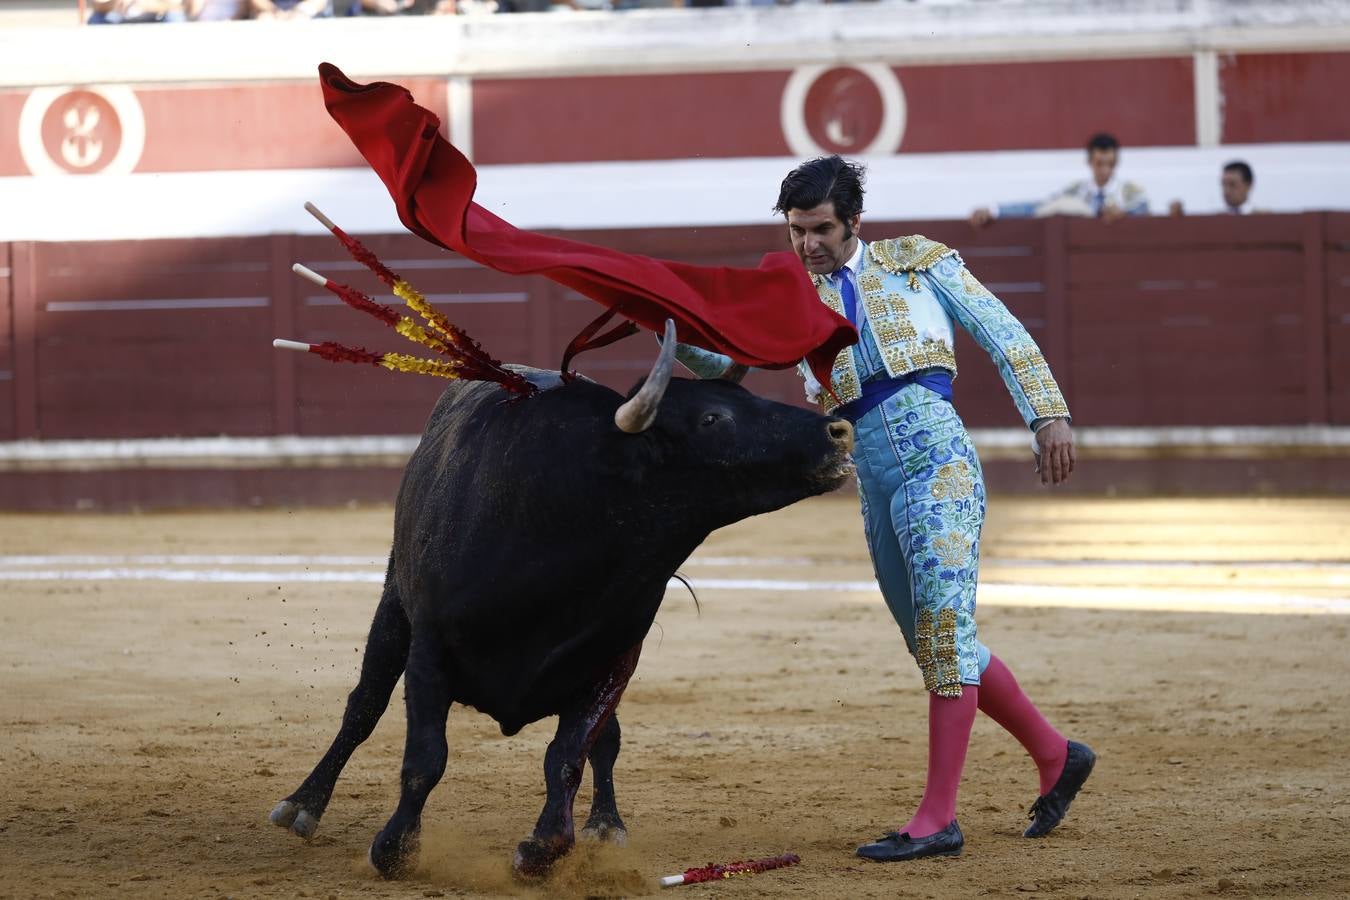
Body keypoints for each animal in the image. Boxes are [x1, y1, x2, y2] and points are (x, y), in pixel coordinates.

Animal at [267, 330, 847, 879]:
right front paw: (393, 851)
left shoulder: (614, 658)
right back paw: (302, 806)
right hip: (393, 608)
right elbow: (426, 755)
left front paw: (541, 852)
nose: (838, 431)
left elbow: (568, 757)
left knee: (606, 742)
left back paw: (607, 825)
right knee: (363, 705)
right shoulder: (430, 644)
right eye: (713, 418)